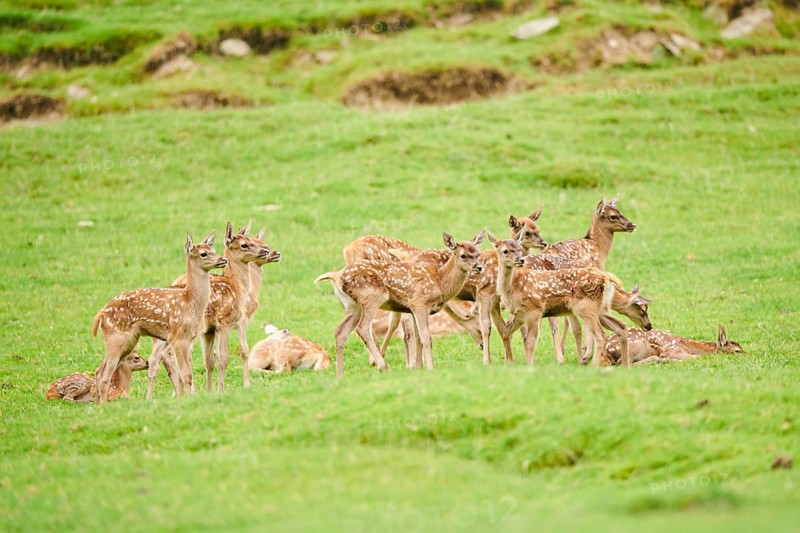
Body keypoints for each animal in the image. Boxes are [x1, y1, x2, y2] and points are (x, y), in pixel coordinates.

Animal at [92, 231, 226, 405]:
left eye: (213, 249)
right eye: (203, 253)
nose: (223, 259)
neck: (190, 302)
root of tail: (100, 315)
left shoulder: (186, 338)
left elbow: (182, 375)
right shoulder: (178, 337)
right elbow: (186, 374)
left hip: (127, 341)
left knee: (99, 371)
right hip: (116, 337)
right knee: (104, 375)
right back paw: (102, 406)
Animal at [146, 223, 270, 397]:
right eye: (245, 244)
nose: (266, 251)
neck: (236, 287)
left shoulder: (209, 330)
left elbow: (209, 361)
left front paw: (210, 391)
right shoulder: (227, 322)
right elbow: (227, 356)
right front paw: (229, 388)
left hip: (162, 335)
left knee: (155, 359)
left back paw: (155, 396)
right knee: (172, 355)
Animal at [315, 231, 485, 377]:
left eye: (477, 253)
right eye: (463, 255)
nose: (479, 267)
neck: (441, 281)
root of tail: (336, 276)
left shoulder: (413, 309)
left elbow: (418, 337)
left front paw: (418, 367)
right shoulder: (419, 303)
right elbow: (425, 337)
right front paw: (429, 367)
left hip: (352, 306)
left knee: (340, 331)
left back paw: (340, 375)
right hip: (371, 297)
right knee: (363, 328)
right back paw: (382, 366)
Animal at [488, 233, 635, 366]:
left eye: (519, 248)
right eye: (505, 251)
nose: (521, 260)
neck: (514, 287)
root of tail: (606, 277)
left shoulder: (534, 310)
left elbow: (530, 342)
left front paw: (529, 367)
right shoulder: (519, 313)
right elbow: (505, 333)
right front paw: (509, 363)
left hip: (587, 307)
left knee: (600, 335)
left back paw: (594, 366)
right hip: (601, 309)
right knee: (621, 326)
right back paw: (625, 366)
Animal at [602, 325, 742, 365]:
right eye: (737, 351)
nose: (746, 356)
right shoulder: (674, 350)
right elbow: (697, 357)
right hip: (636, 343)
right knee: (622, 364)